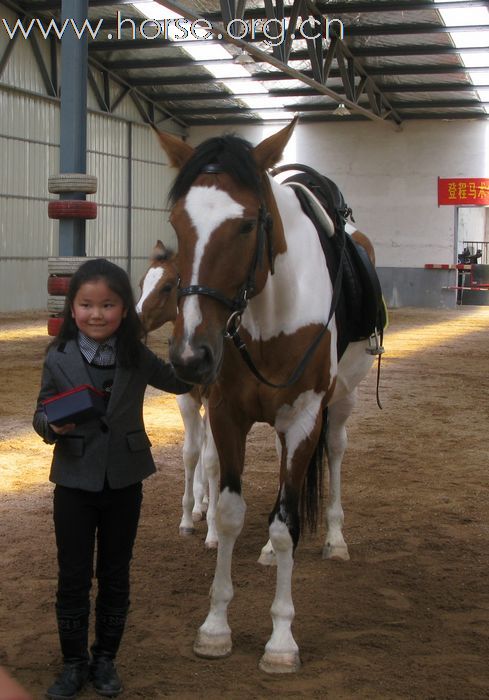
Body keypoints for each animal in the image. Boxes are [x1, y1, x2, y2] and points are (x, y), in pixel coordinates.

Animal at [155, 120, 378, 672]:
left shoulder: (304, 419)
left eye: (246, 225)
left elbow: (285, 523)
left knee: (334, 455)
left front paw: (281, 640)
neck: (268, 316)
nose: (191, 355)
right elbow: (232, 514)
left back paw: (335, 538)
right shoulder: (227, 414)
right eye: (177, 222)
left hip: (340, 403)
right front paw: (215, 627)